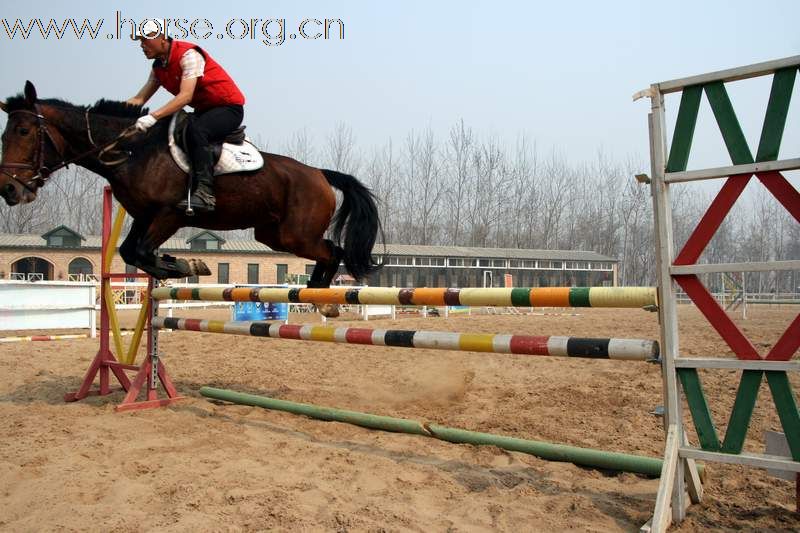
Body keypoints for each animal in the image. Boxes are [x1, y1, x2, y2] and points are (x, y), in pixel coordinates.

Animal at [0, 80, 384, 304]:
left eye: (23, 131)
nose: (8, 189)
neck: (133, 151)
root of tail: (319, 173)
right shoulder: (144, 216)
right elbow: (131, 251)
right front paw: (179, 263)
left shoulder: (170, 215)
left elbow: (141, 251)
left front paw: (184, 264)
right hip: (273, 234)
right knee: (327, 251)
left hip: (296, 234)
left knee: (332, 251)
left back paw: (319, 295)